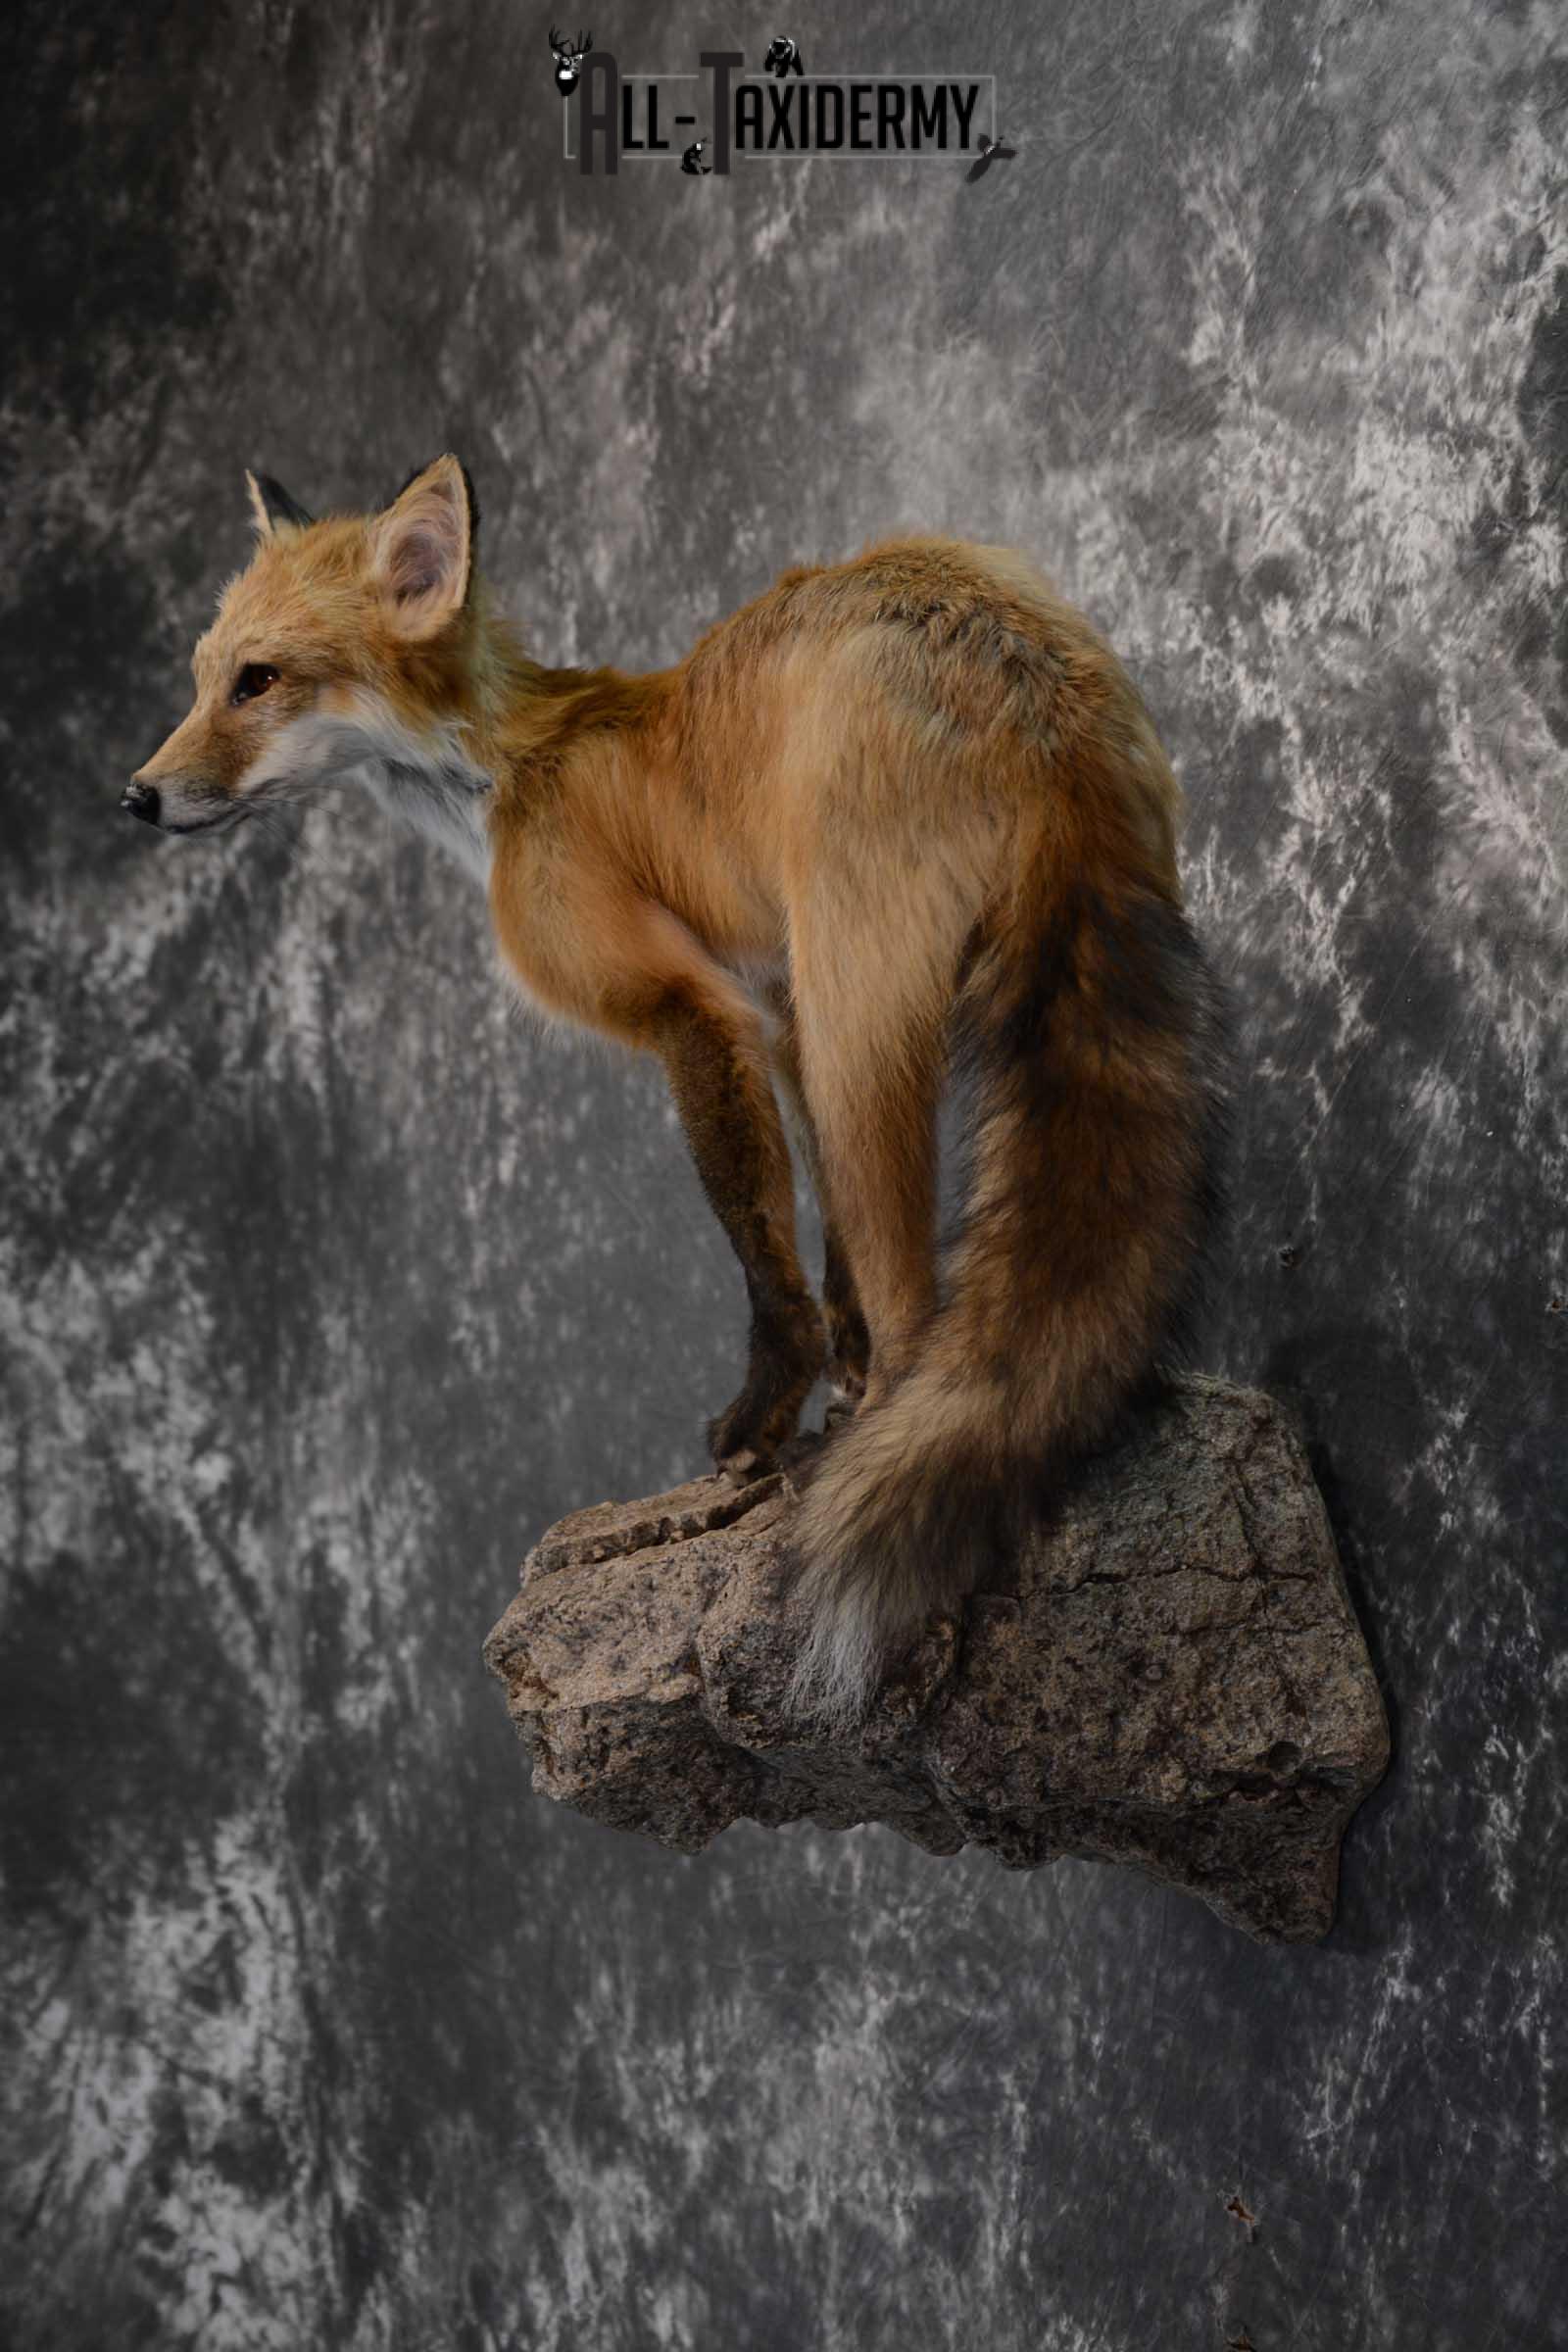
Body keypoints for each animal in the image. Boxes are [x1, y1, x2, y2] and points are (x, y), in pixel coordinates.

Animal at [125, 455, 1226, 1725]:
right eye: (201, 677)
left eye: (258, 682)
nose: (135, 798)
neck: (506, 776)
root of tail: (1015, 659)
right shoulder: (776, 1007)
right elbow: (825, 1258)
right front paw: (834, 1395)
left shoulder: (692, 1011)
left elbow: (764, 1257)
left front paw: (764, 1428)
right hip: (864, 1012)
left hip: (860, 1027)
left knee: (919, 1307)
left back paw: (881, 1489)